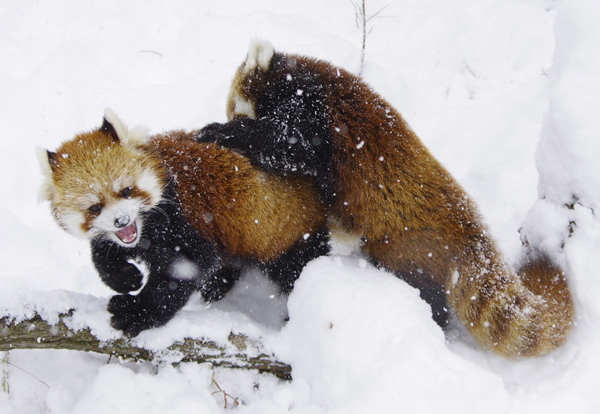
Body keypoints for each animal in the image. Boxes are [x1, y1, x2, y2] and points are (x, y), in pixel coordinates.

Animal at [37, 110, 328, 336]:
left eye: (126, 191)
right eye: (95, 208)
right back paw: (218, 282)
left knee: (295, 269)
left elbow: (183, 268)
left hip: (289, 237)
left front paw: (138, 312)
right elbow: (104, 252)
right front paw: (125, 277)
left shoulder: (182, 220)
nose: (121, 220)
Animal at [198, 38, 576, 358]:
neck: (299, 77)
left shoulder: (313, 112)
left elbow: (288, 144)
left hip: (409, 249)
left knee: (428, 293)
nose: (228, 118)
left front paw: (220, 132)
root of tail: (464, 218)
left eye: (233, 109)